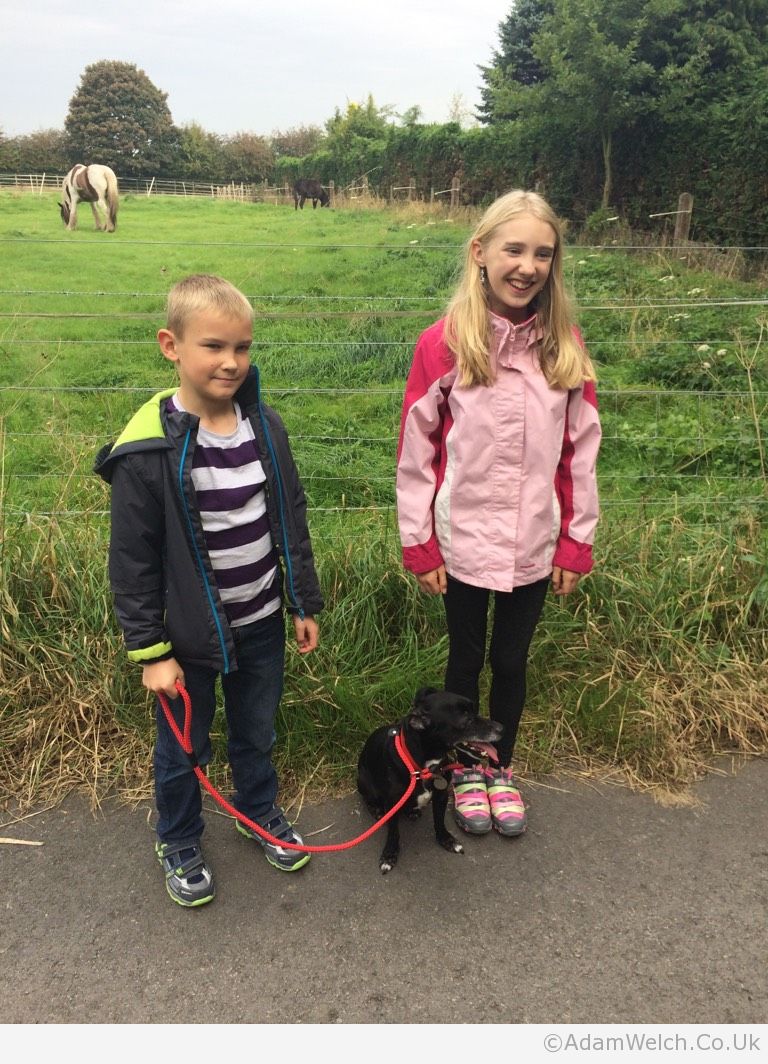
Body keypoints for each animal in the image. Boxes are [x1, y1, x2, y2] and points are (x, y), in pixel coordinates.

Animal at [355, 689, 502, 872]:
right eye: (466, 719)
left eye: (474, 710)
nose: (502, 728)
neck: (421, 767)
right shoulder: (392, 804)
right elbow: (394, 832)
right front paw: (389, 854)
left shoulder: (441, 795)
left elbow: (439, 821)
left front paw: (446, 840)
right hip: (364, 782)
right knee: (369, 799)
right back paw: (376, 810)